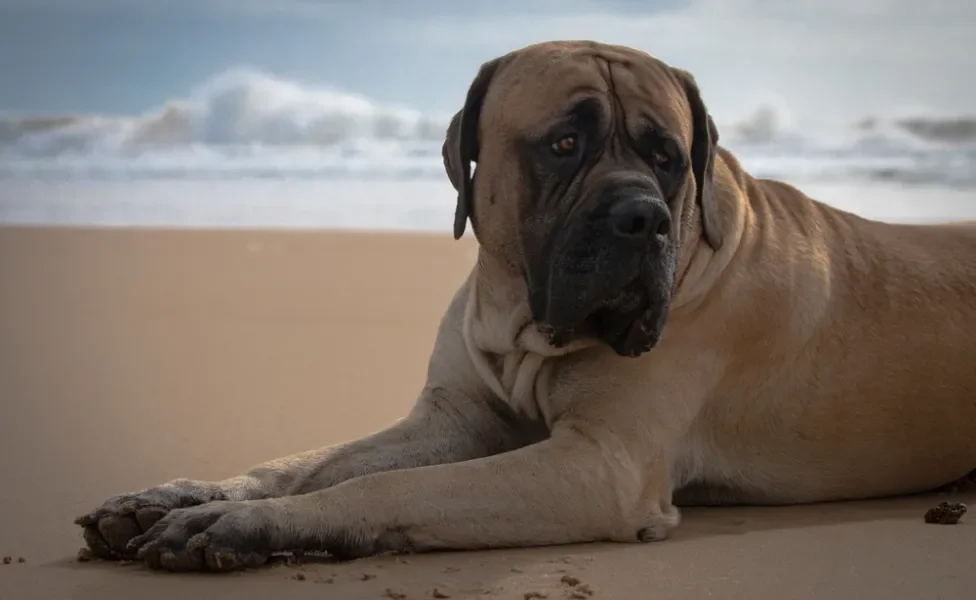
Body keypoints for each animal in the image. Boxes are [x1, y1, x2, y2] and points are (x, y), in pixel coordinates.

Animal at [74, 39, 976, 576]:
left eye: (667, 156)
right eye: (564, 145)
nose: (643, 217)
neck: (525, 324)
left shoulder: (596, 466)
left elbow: (386, 490)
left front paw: (242, 527)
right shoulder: (453, 419)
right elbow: (306, 461)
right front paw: (180, 497)